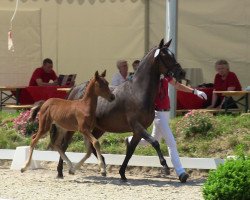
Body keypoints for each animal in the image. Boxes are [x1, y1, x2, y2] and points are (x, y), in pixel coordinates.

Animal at [49, 39, 186, 181]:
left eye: (172, 54)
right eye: (165, 56)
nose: (181, 73)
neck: (137, 92)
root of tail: (74, 89)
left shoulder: (138, 131)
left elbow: (130, 151)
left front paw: (122, 173)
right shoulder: (137, 126)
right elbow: (155, 142)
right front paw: (165, 166)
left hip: (99, 128)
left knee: (91, 146)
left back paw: (102, 165)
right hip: (73, 128)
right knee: (64, 145)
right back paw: (61, 171)